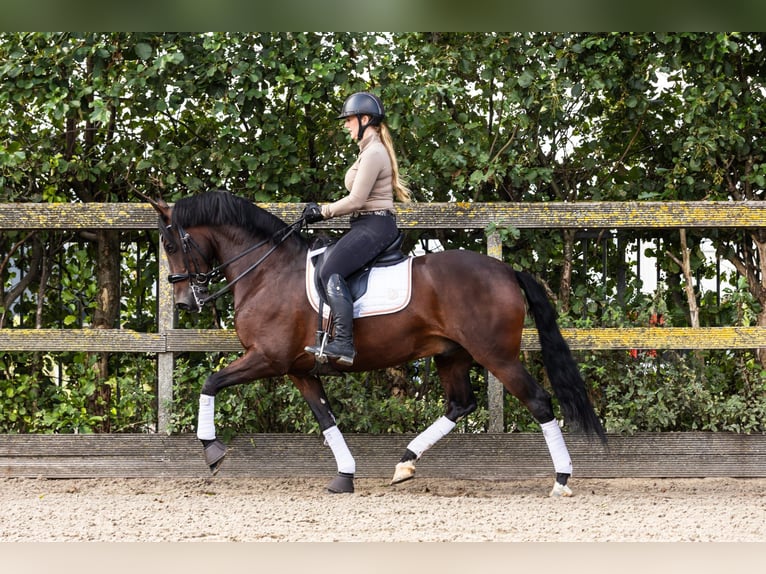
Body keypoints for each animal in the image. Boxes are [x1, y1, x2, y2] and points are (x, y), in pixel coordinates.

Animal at [148, 191, 608, 498]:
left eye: (170, 244)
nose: (185, 302)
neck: (268, 272)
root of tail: (506, 270)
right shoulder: (300, 370)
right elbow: (326, 419)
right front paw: (345, 476)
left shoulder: (267, 358)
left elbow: (210, 381)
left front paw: (212, 451)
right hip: (452, 355)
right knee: (459, 405)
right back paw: (405, 463)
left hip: (496, 355)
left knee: (539, 402)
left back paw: (562, 479)